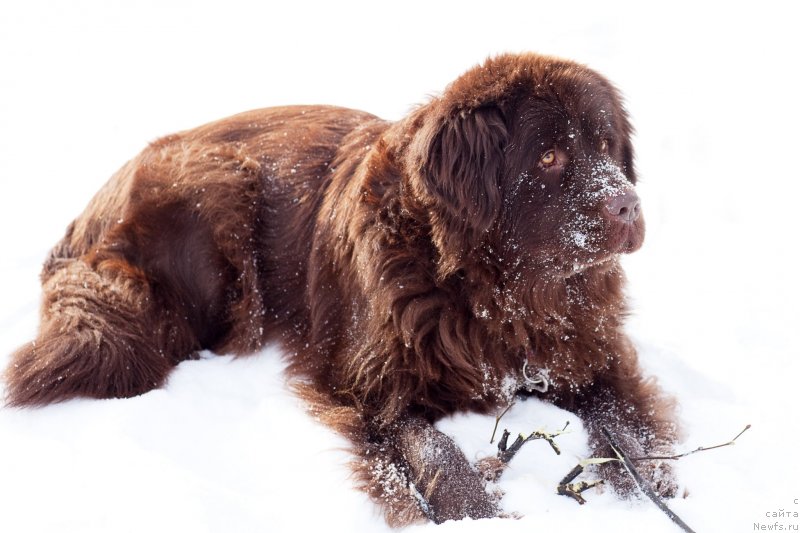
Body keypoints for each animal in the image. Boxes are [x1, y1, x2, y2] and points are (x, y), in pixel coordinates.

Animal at [4, 54, 680, 524]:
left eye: (605, 147)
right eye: (548, 158)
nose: (627, 204)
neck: (494, 295)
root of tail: (87, 214)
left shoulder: (585, 350)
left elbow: (621, 425)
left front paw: (647, 491)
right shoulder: (367, 383)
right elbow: (434, 450)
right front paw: (479, 514)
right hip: (218, 188)